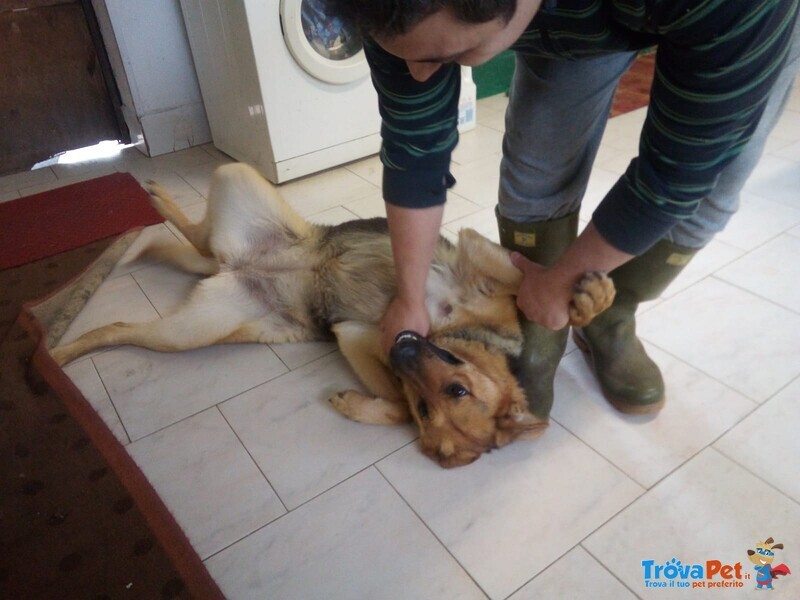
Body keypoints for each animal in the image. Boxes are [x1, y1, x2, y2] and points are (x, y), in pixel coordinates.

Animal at [51, 164, 612, 468]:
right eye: (455, 390)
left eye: (432, 407)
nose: (403, 347)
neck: (455, 331)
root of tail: (236, 263)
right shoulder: (476, 259)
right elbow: (527, 283)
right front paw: (588, 298)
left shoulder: (355, 336)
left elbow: (390, 405)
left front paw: (356, 404)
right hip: (238, 178)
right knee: (195, 233)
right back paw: (157, 200)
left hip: (192, 330)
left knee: (124, 323)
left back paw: (60, 352)